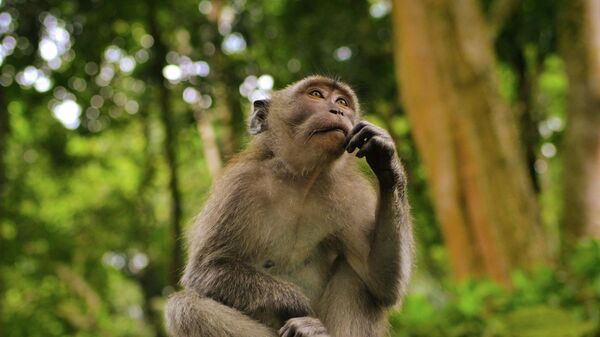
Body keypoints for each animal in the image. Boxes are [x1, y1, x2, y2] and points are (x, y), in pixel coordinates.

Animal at [166, 75, 414, 336]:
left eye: (342, 102)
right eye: (316, 95)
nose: (338, 111)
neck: (301, 181)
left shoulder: (352, 194)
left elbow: (381, 282)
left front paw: (386, 158)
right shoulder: (238, 186)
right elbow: (205, 269)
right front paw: (297, 302)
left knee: (356, 275)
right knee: (185, 306)